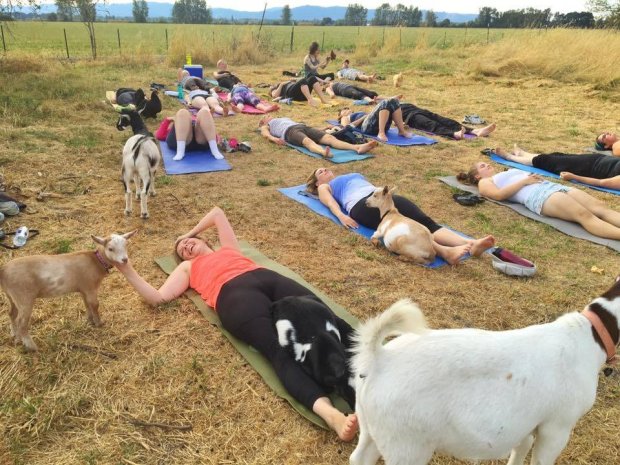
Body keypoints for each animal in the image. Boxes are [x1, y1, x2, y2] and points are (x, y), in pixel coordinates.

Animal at [0, 230, 136, 350]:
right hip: (24, 297)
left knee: (11, 313)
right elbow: (95, 305)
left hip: (12, 296)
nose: (125, 260)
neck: (96, 261)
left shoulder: (84, 288)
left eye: (126, 245)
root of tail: (3, 270)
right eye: (110, 249)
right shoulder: (90, 287)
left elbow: (87, 304)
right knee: (21, 321)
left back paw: (15, 336)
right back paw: (32, 347)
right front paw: (99, 323)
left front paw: (90, 320)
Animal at [352, 278, 620, 464]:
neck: (590, 333)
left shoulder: (527, 423)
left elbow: (521, 448)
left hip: (370, 426)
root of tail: (380, 359)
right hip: (407, 445)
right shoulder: (558, 426)